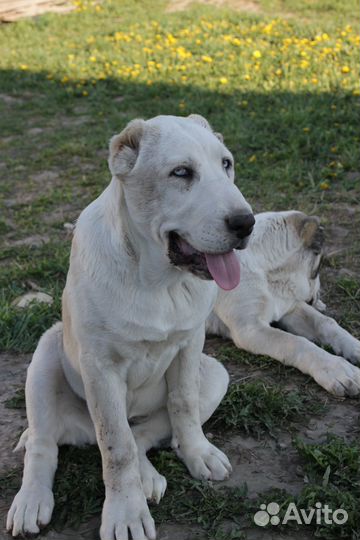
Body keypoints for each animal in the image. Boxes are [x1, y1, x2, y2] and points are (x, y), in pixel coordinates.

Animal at [6, 115, 253, 540]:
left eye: (227, 164)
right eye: (181, 173)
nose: (246, 223)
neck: (158, 280)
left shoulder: (190, 344)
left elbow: (182, 404)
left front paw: (198, 454)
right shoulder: (100, 367)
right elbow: (115, 445)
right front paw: (125, 514)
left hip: (215, 373)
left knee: (142, 433)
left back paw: (149, 475)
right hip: (45, 355)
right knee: (46, 443)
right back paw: (31, 501)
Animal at [207, 211, 360, 396]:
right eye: (318, 268)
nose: (314, 296)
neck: (268, 274)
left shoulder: (289, 307)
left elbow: (326, 322)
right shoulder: (250, 328)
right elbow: (295, 342)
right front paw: (336, 369)